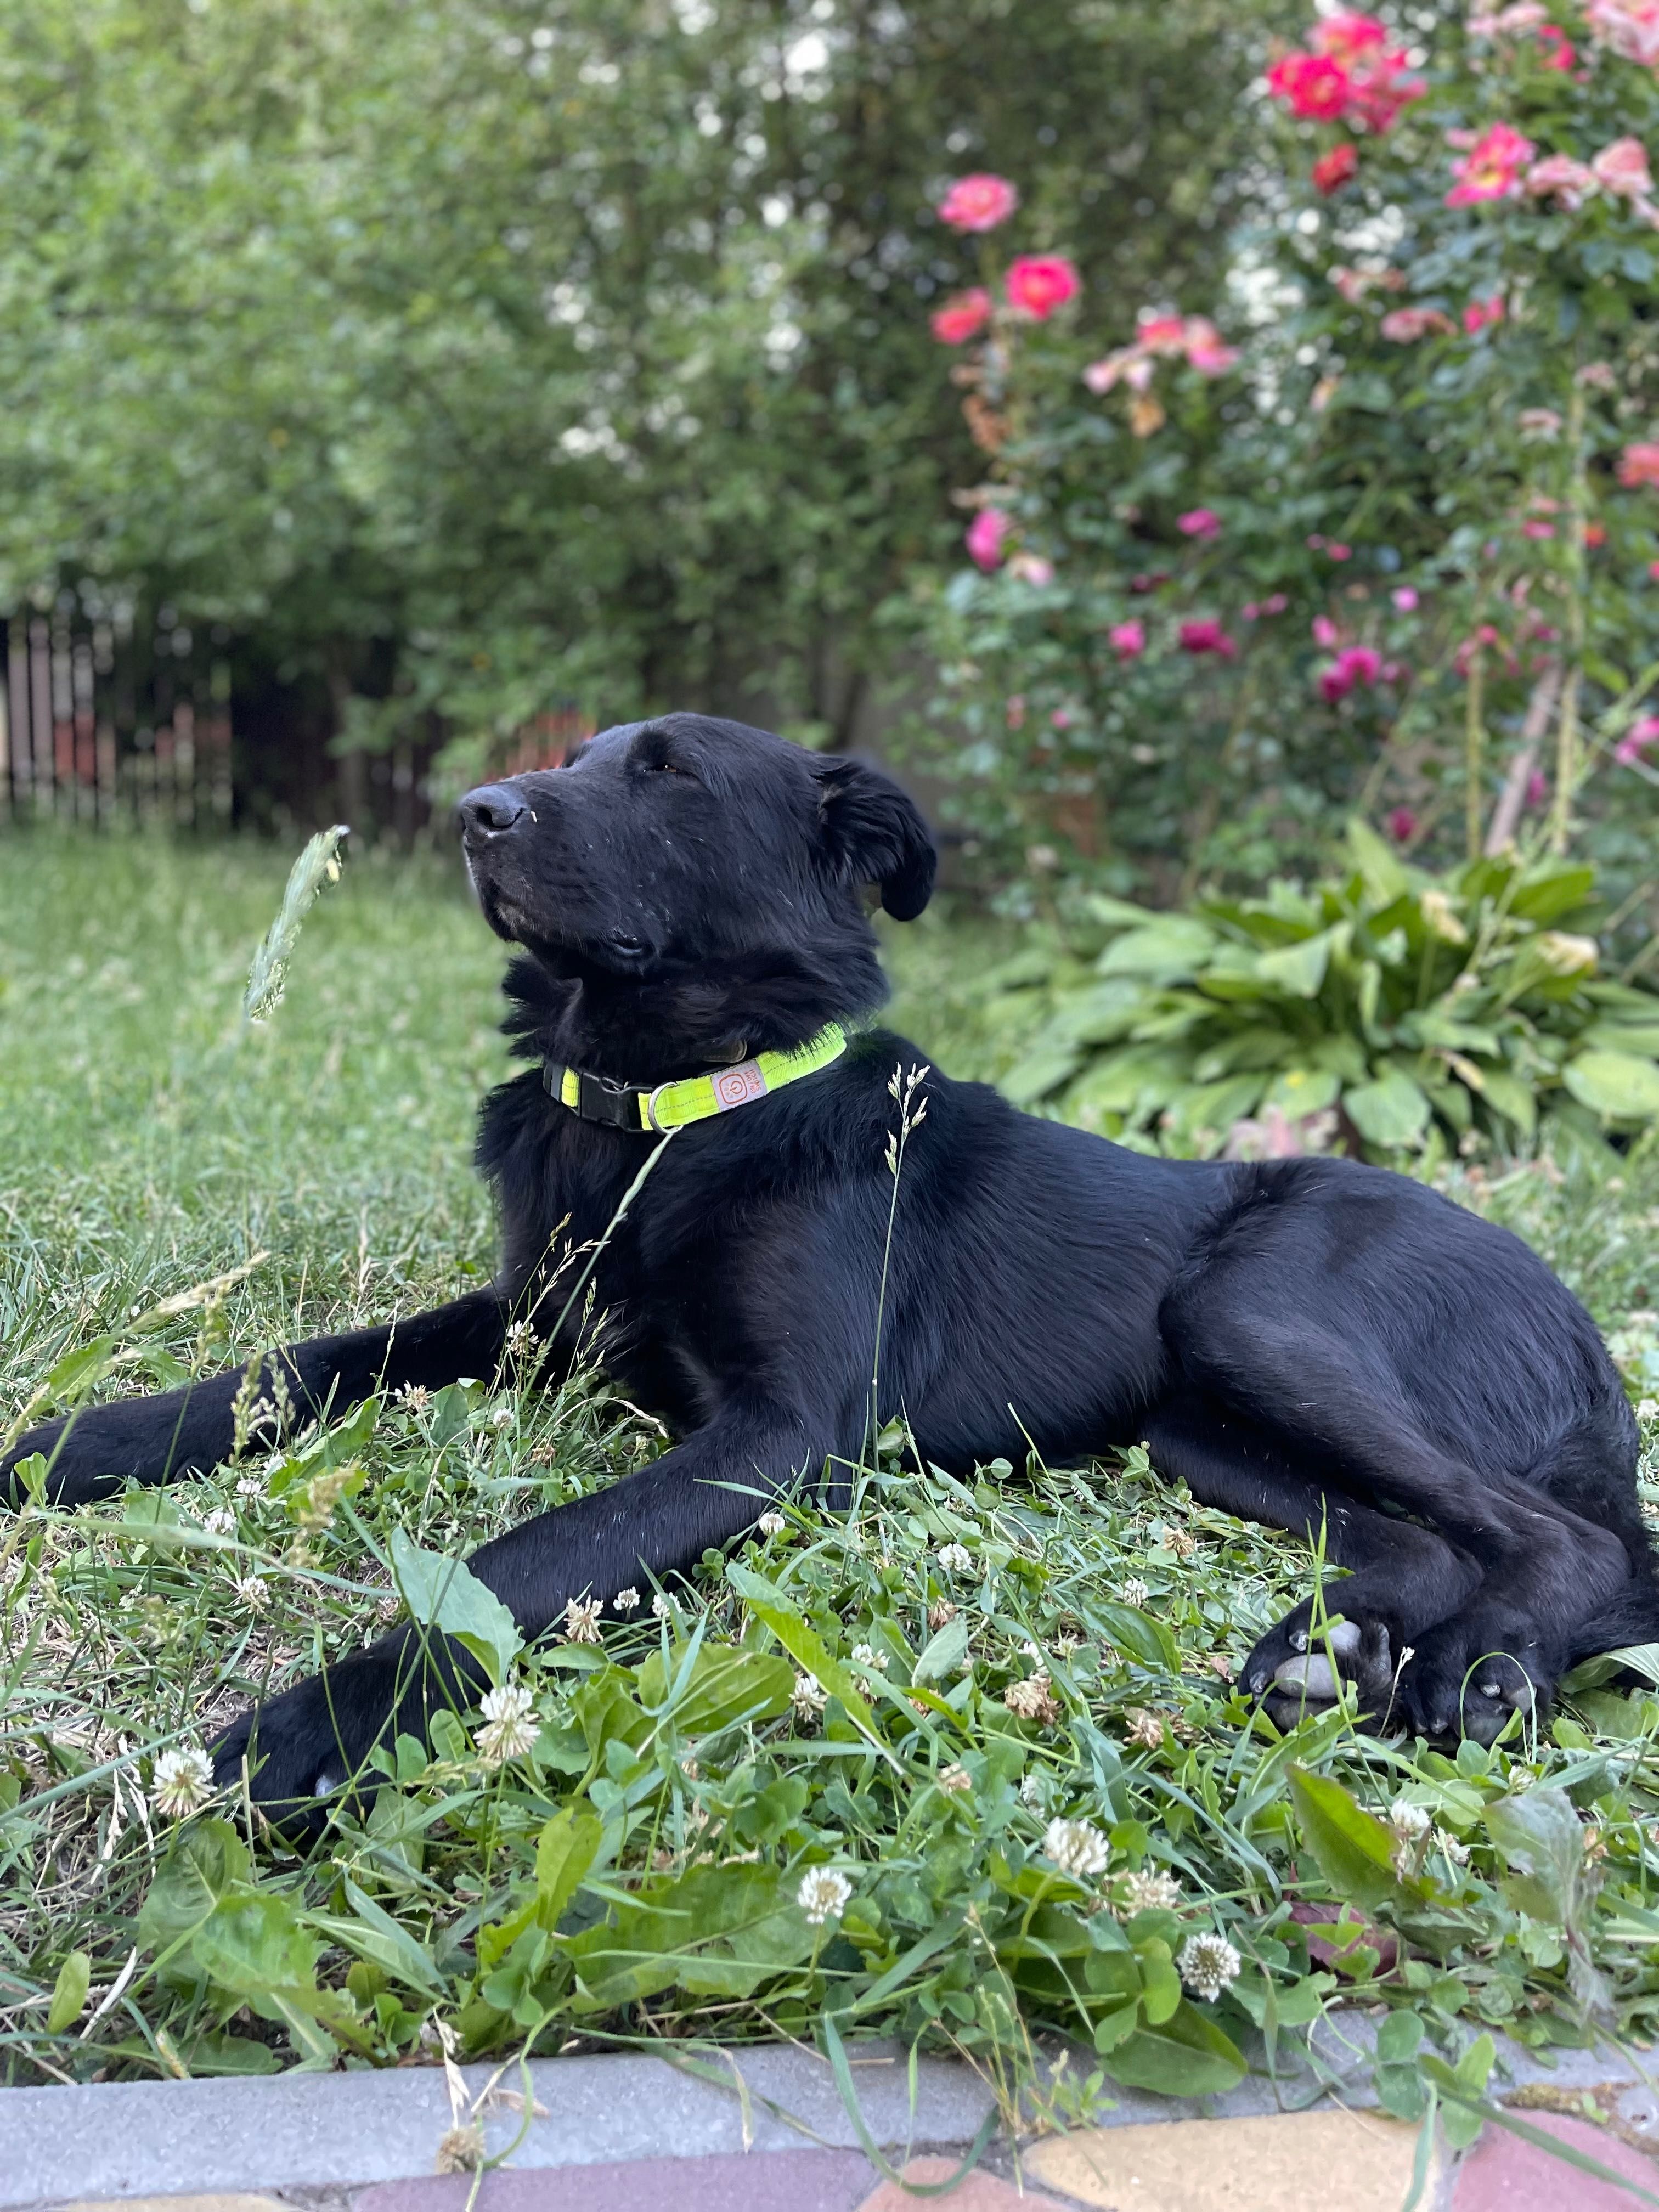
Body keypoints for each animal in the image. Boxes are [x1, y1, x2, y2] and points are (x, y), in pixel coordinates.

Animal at [6, 708, 1654, 1814]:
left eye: (667, 772)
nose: (473, 809)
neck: (666, 1114)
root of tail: (1582, 1330)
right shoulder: (524, 1315)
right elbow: (295, 1365)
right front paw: (68, 1446)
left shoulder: (784, 1435)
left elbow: (523, 1560)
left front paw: (305, 1730)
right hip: (1197, 1428)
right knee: (1431, 1543)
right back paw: (1339, 1654)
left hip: (1254, 1306)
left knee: (1565, 1548)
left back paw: (1480, 1671)